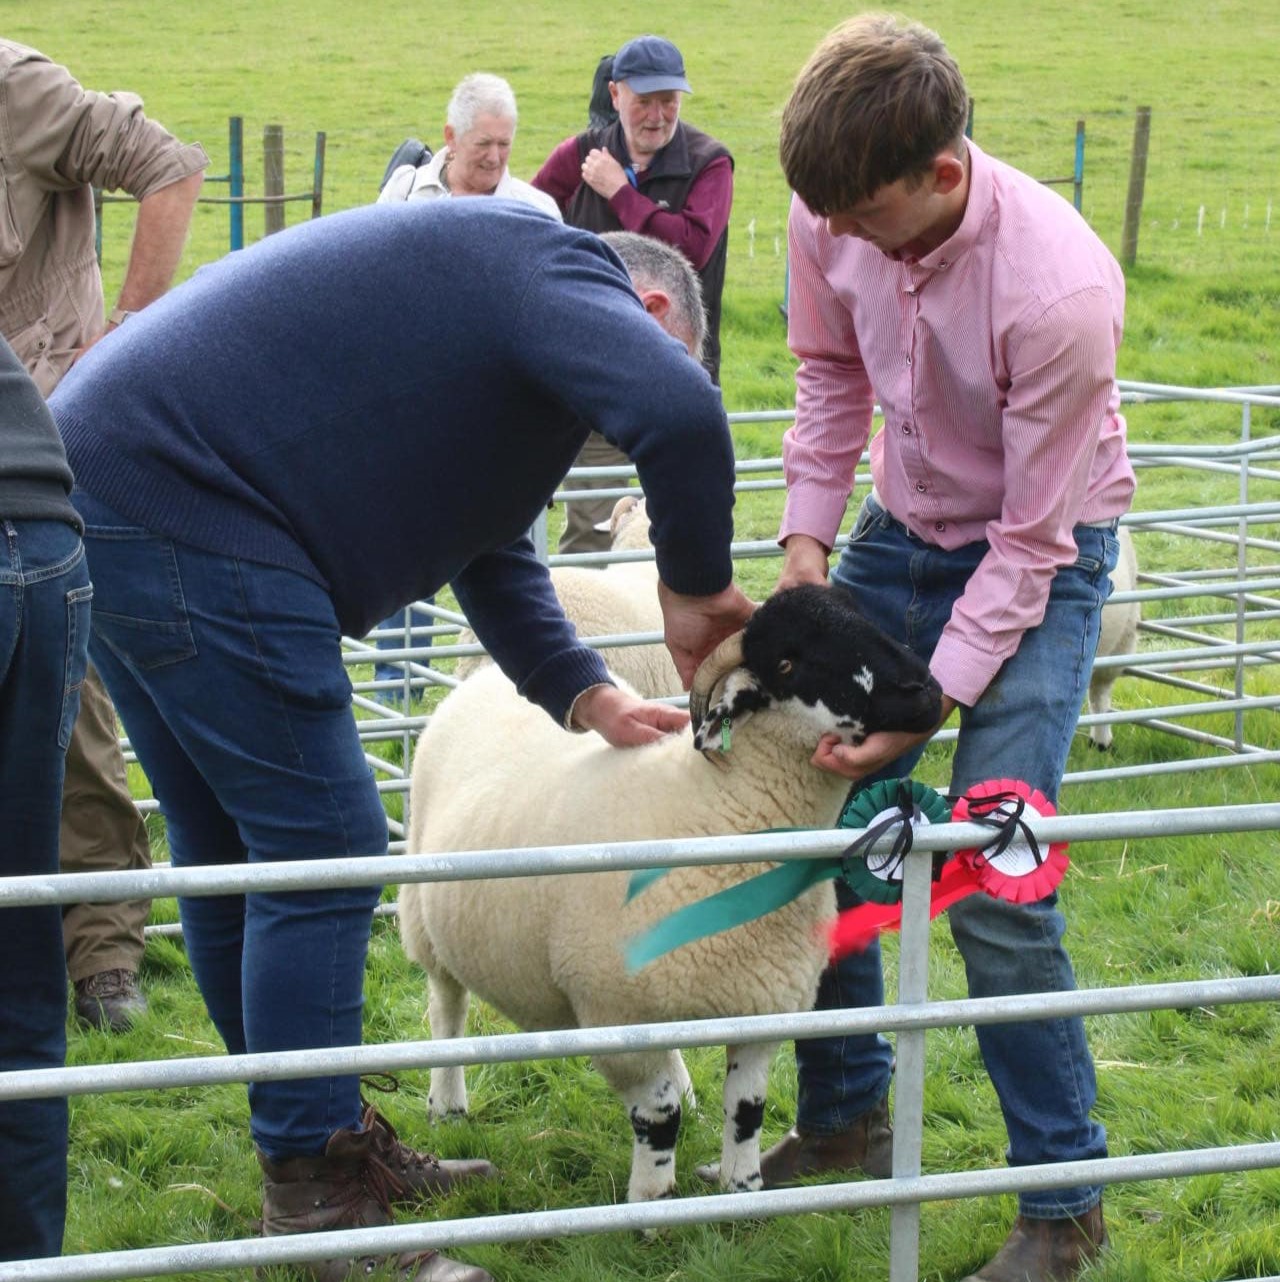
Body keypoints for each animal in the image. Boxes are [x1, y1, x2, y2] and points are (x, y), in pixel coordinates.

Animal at [397, 587, 943, 1205]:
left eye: (864, 619)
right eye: (787, 662)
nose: (925, 690)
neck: (720, 805)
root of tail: (487, 677)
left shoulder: (763, 1007)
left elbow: (747, 1111)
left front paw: (742, 1191)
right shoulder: (618, 1014)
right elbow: (658, 1120)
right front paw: (651, 1203)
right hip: (424, 916)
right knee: (447, 1007)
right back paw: (447, 1103)